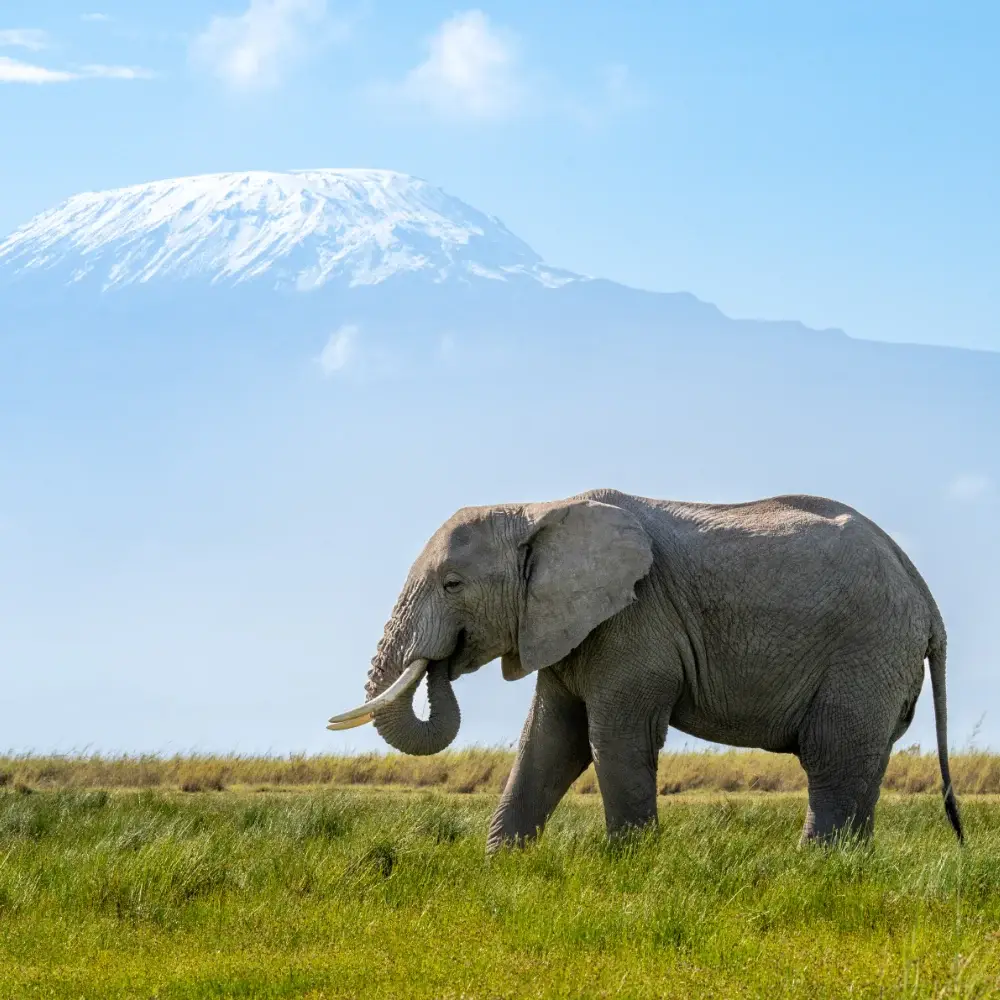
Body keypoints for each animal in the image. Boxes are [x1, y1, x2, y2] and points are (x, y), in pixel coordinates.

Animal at [328, 489, 964, 851]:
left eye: (453, 585)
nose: (442, 662)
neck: (539, 509)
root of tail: (925, 595)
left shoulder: (634, 620)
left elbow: (613, 739)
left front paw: (629, 871)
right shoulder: (569, 627)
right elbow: (549, 742)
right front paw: (500, 866)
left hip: (866, 650)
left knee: (833, 757)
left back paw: (812, 873)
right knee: (860, 763)